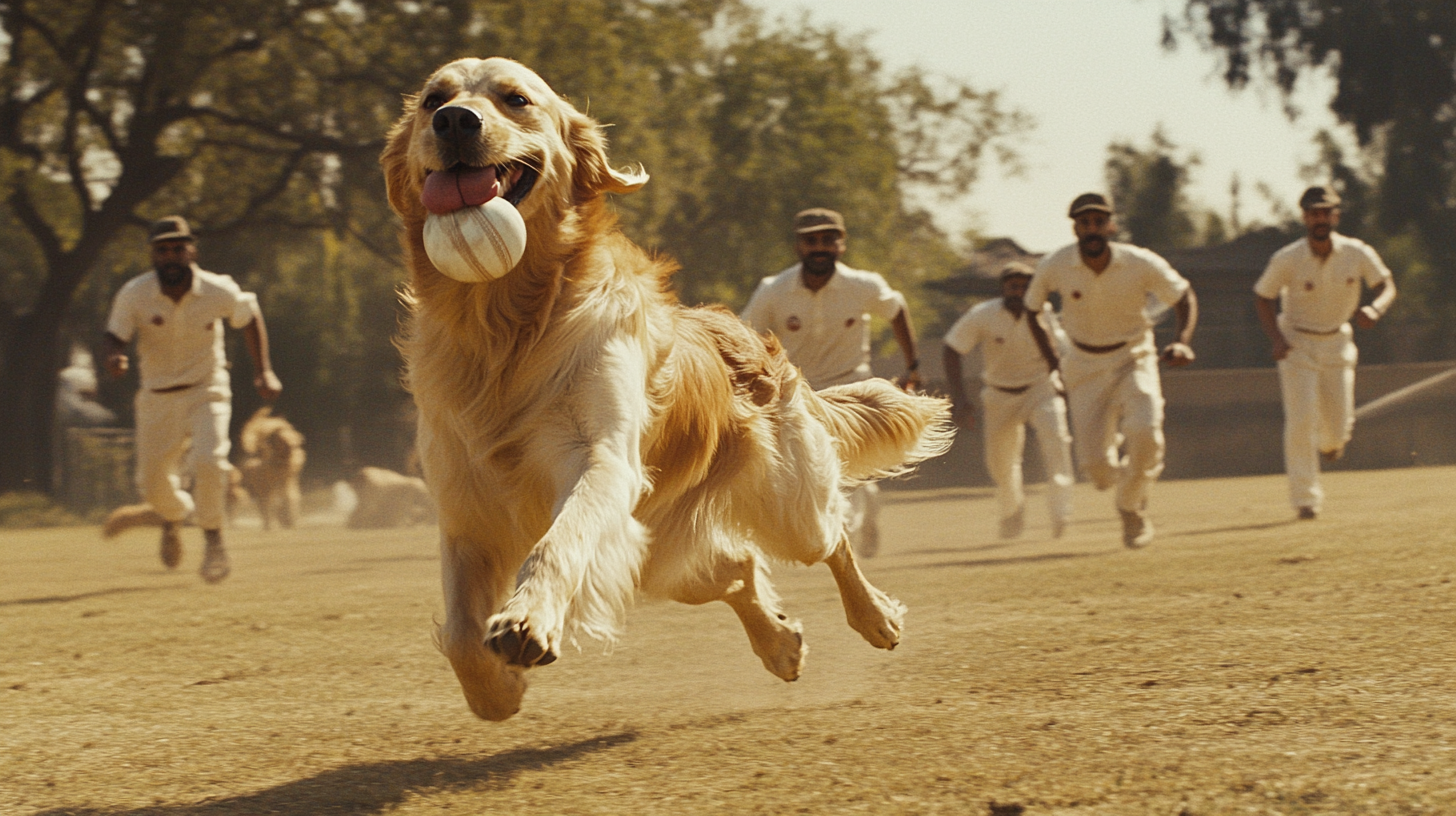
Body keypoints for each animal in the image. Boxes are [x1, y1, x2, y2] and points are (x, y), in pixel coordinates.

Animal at [384, 59, 955, 719]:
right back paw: (780, 642)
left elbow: (558, 542)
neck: (504, 324)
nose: (455, 121)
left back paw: (875, 617)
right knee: (737, 566)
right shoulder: (464, 508)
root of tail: (752, 337)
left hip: (786, 508)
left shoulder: (603, 461)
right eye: (434, 100)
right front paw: (500, 687)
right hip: (660, 557)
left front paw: (526, 621)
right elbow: (459, 636)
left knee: (832, 537)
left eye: (516, 99)